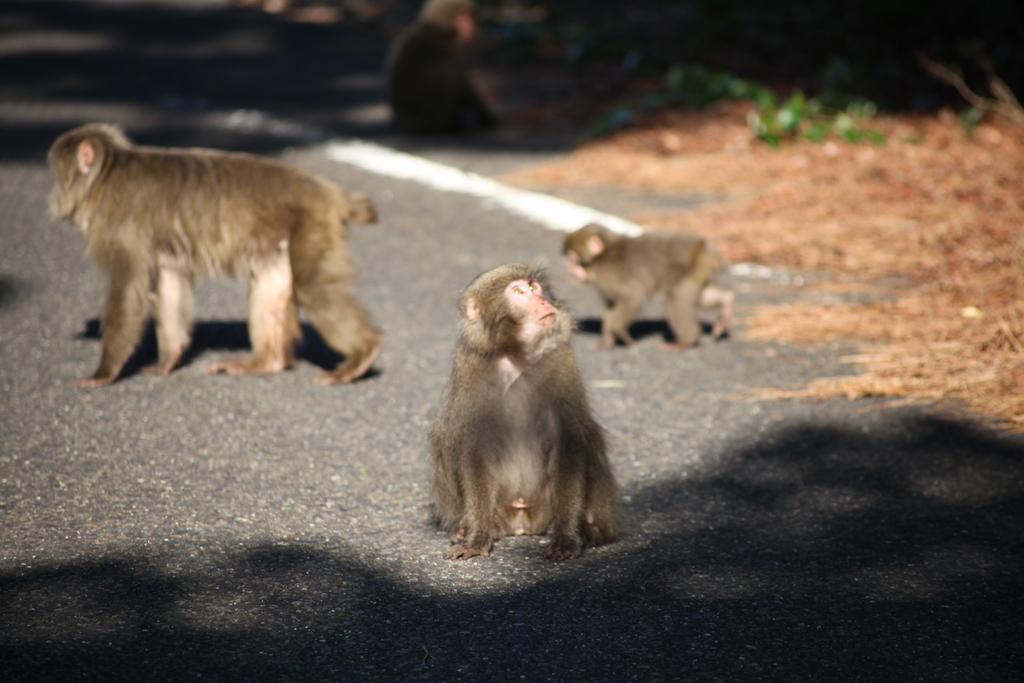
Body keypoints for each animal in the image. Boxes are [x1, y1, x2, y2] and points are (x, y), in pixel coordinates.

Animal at [48, 123, 380, 387]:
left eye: (57, 174)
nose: (51, 198)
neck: (106, 176)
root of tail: (332, 193)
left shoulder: (120, 226)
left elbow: (128, 288)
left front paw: (104, 373)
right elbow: (172, 284)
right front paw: (167, 361)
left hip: (312, 226)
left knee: (314, 286)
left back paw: (361, 356)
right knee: (270, 283)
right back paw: (266, 362)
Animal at [385, 0, 495, 134]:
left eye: (469, 15)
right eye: (461, 16)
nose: (470, 26)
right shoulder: (452, 51)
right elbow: (462, 86)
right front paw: (484, 115)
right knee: (447, 73)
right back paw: (451, 125)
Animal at [428, 264, 618, 561]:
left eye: (533, 287)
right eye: (518, 292)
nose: (542, 302)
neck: (515, 354)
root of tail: (521, 523)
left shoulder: (561, 360)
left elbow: (570, 441)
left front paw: (567, 537)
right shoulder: (469, 366)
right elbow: (472, 447)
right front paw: (477, 537)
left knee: (591, 436)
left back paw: (592, 531)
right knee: (445, 436)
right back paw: (472, 527)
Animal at [561, 224, 737, 352]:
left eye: (573, 258)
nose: (569, 269)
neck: (602, 257)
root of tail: (704, 246)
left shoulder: (611, 275)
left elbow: (632, 299)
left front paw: (620, 332)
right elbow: (611, 305)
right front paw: (606, 340)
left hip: (692, 268)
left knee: (675, 299)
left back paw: (686, 341)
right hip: (699, 271)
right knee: (701, 294)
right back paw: (726, 301)